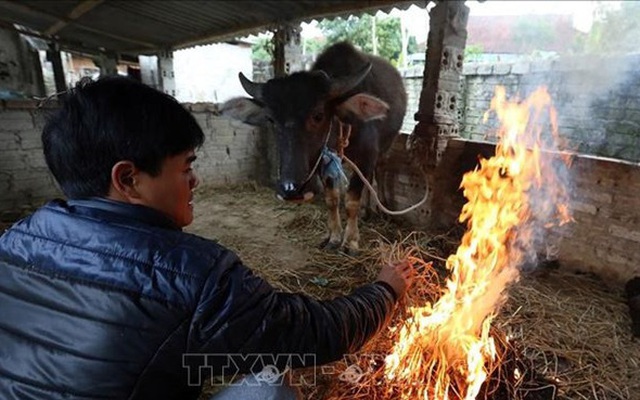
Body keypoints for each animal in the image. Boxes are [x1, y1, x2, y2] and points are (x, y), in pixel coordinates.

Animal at [222, 42, 408, 255]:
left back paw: (379, 207)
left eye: (318, 115)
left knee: (378, 173)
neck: (342, 127)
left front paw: (350, 242)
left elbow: (351, 199)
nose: (291, 189)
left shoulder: (367, 156)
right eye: (271, 119)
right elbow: (332, 199)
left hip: (385, 148)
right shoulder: (323, 160)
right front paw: (334, 238)